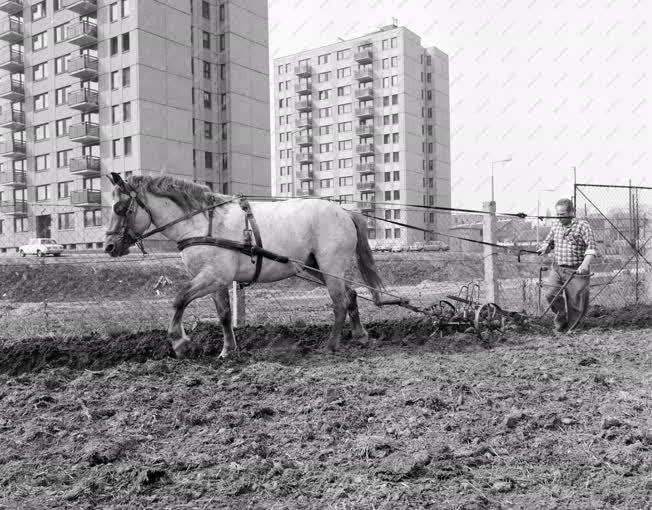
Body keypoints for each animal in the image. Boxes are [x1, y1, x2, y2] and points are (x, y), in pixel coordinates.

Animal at [104, 173, 384, 356]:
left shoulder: (212, 276)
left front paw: (180, 342)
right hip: (315, 268)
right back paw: (360, 336)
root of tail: (345, 212)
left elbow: (179, 299)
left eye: (120, 208)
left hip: (330, 266)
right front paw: (228, 350)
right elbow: (224, 315)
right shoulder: (217, 281)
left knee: (339, 303)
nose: (109, 247)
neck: (200, 222)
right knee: (350, 295)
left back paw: (330, 345)